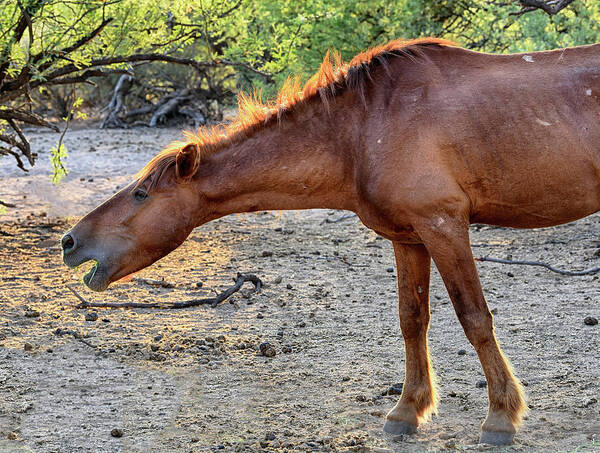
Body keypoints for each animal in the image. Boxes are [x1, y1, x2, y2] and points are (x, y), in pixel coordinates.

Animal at [61, 38, 600, 442]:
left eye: (141, 193)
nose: (70, 243)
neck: (362, 129)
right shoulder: (409, 237)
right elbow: (412, 320)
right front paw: (407, 411)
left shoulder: (444, 225)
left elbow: (474, 319)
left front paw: (501, 417)